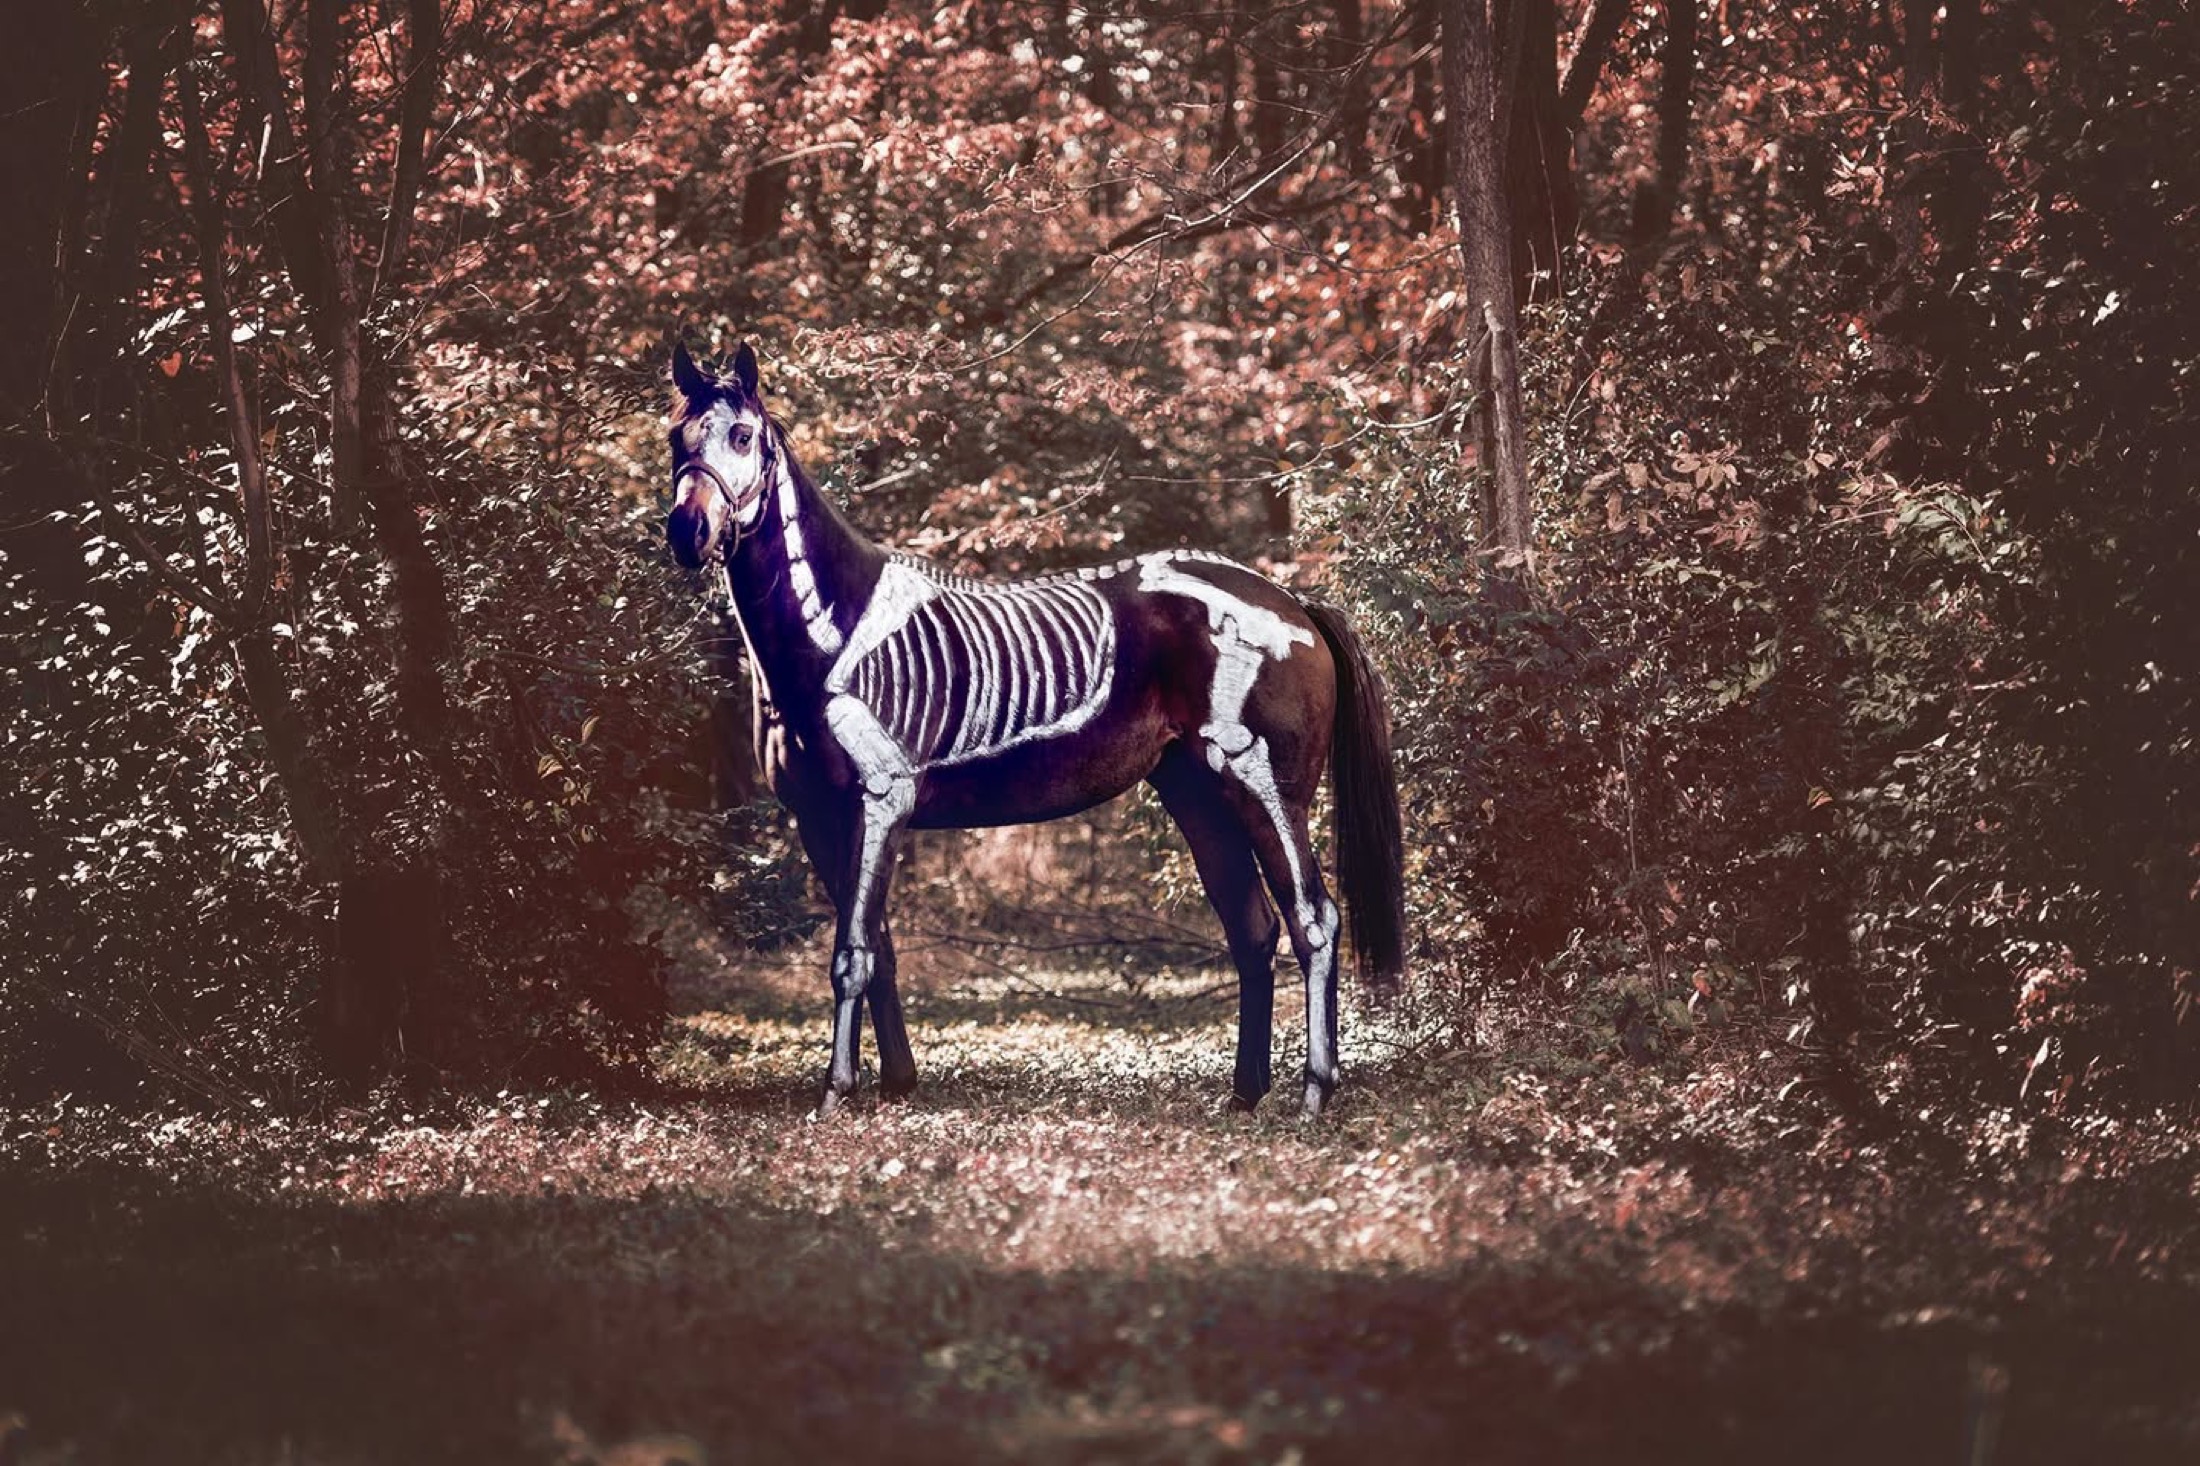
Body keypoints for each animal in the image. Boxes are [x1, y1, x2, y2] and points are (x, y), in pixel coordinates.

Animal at [663, 341, 1405, 1117]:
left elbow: (851, 954)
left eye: (743, 436)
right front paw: (897, 1083)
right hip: (1196, 791)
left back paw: (1314, 1092)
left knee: (1313, 921)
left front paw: (838, 1091)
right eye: (675, 439)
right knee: (1252, 927)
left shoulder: (881, 801)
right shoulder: (820, 816)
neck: (833, 633)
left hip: (1263, 784)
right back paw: (1243, 1095)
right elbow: (879, 947)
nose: (687, 533)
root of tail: (1292, 602)